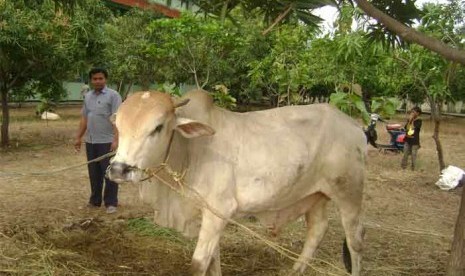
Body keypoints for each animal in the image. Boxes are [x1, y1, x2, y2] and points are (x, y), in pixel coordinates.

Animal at [109, 90, 366, 276]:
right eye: (118, 126)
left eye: (158, 127)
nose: (119, 169)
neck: (189, 151)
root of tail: (355, 126)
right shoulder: (208, 214)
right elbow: (213, 261)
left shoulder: (220, 210)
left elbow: (198, 265)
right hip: (316, 195)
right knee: (318, 229)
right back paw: (296, 270)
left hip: (349, 193)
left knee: (355, 241)